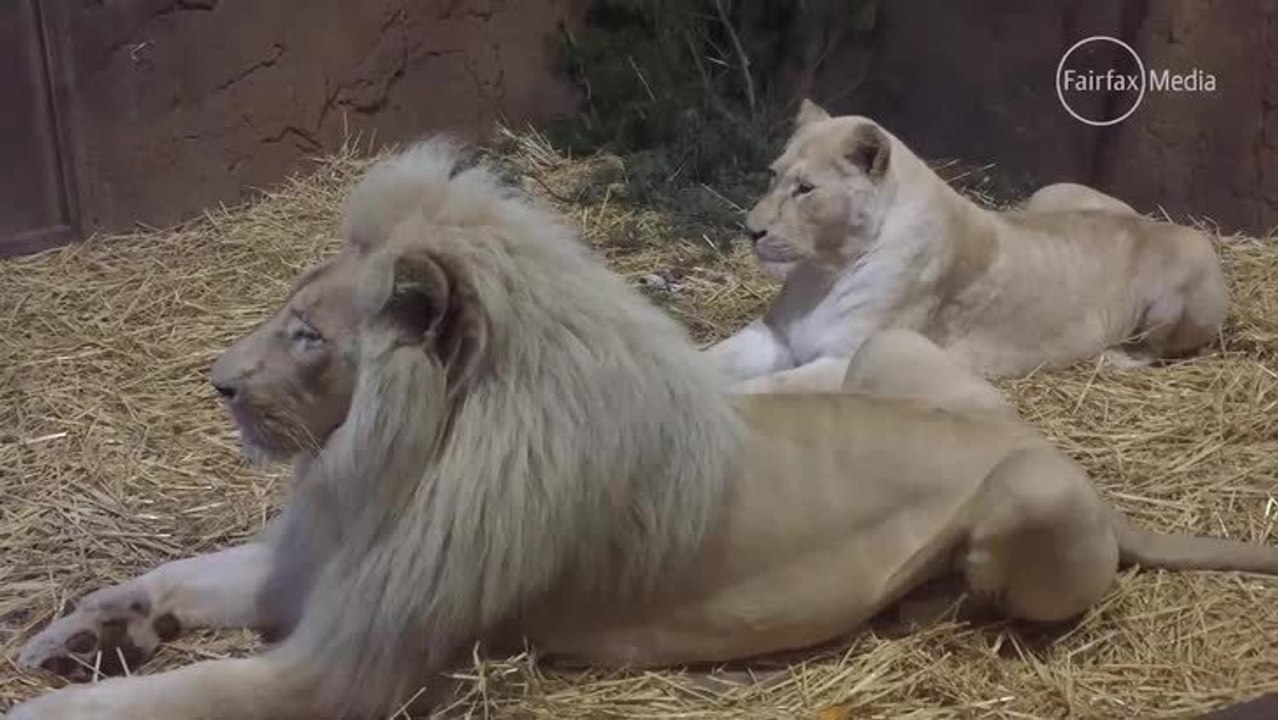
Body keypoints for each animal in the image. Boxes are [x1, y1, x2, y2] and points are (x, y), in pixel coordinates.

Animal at [12, 141, 1277, 720]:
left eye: (310, 338)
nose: (219, 384)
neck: (384, 463)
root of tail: (1086, 476)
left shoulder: (346, 662)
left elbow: (151, 705)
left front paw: (60, 689)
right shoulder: (318, 564)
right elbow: (177, 576)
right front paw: (82, 632)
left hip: (1030, 498)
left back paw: (925, 606)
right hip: (894, 362)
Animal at [707, 99, 1229, 392]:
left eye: (806, 190)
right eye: (773, 175)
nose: (751, 229)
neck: (824, 269)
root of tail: (1149, 219)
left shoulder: (850, 360)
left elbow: (759, 389)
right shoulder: (774, 334)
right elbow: (716, 361)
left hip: (1191, 266)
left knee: (1156, 351)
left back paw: (1113, 357)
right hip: (1051, 192)